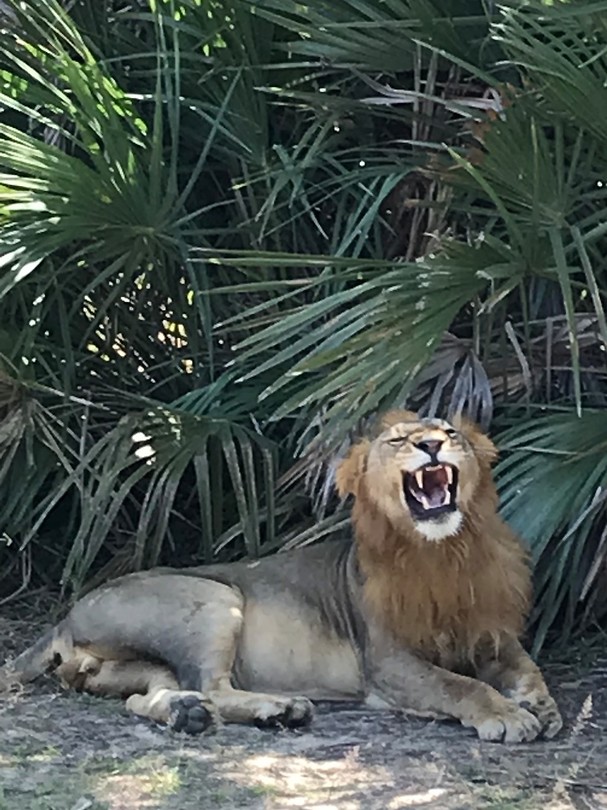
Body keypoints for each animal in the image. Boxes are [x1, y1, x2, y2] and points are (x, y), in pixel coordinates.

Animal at [0, 411, 562, 742]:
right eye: (400, 439)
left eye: (450, 434)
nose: (430, 444)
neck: (445, 550)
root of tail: (66, 615)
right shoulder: (388, 662)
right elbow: (459, 686)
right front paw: (507, 715)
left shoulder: (490, 635)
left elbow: (526, 666)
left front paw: (542, 705)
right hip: (212, 597)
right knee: (211, 684)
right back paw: (278, 708)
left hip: (140, 663)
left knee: (150, 697)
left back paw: (193, 714)